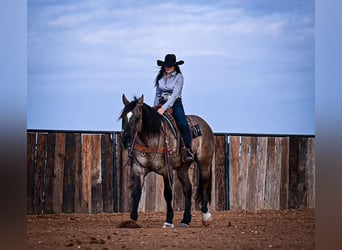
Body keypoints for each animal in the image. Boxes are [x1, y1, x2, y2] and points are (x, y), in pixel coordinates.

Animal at [119, 93, 214, 227]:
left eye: (137, 118)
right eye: (123, 117)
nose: (125, 141)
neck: (150, 139)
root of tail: (206, 125)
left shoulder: (166, 170)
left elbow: (168, 193)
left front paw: (169, 220)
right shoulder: (139, 169)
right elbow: (136, 192)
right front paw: (132, 220)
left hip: (204, 163)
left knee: (205, 185)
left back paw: (206, 216)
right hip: (182, 168)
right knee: (188, 189)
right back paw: (185, 220)